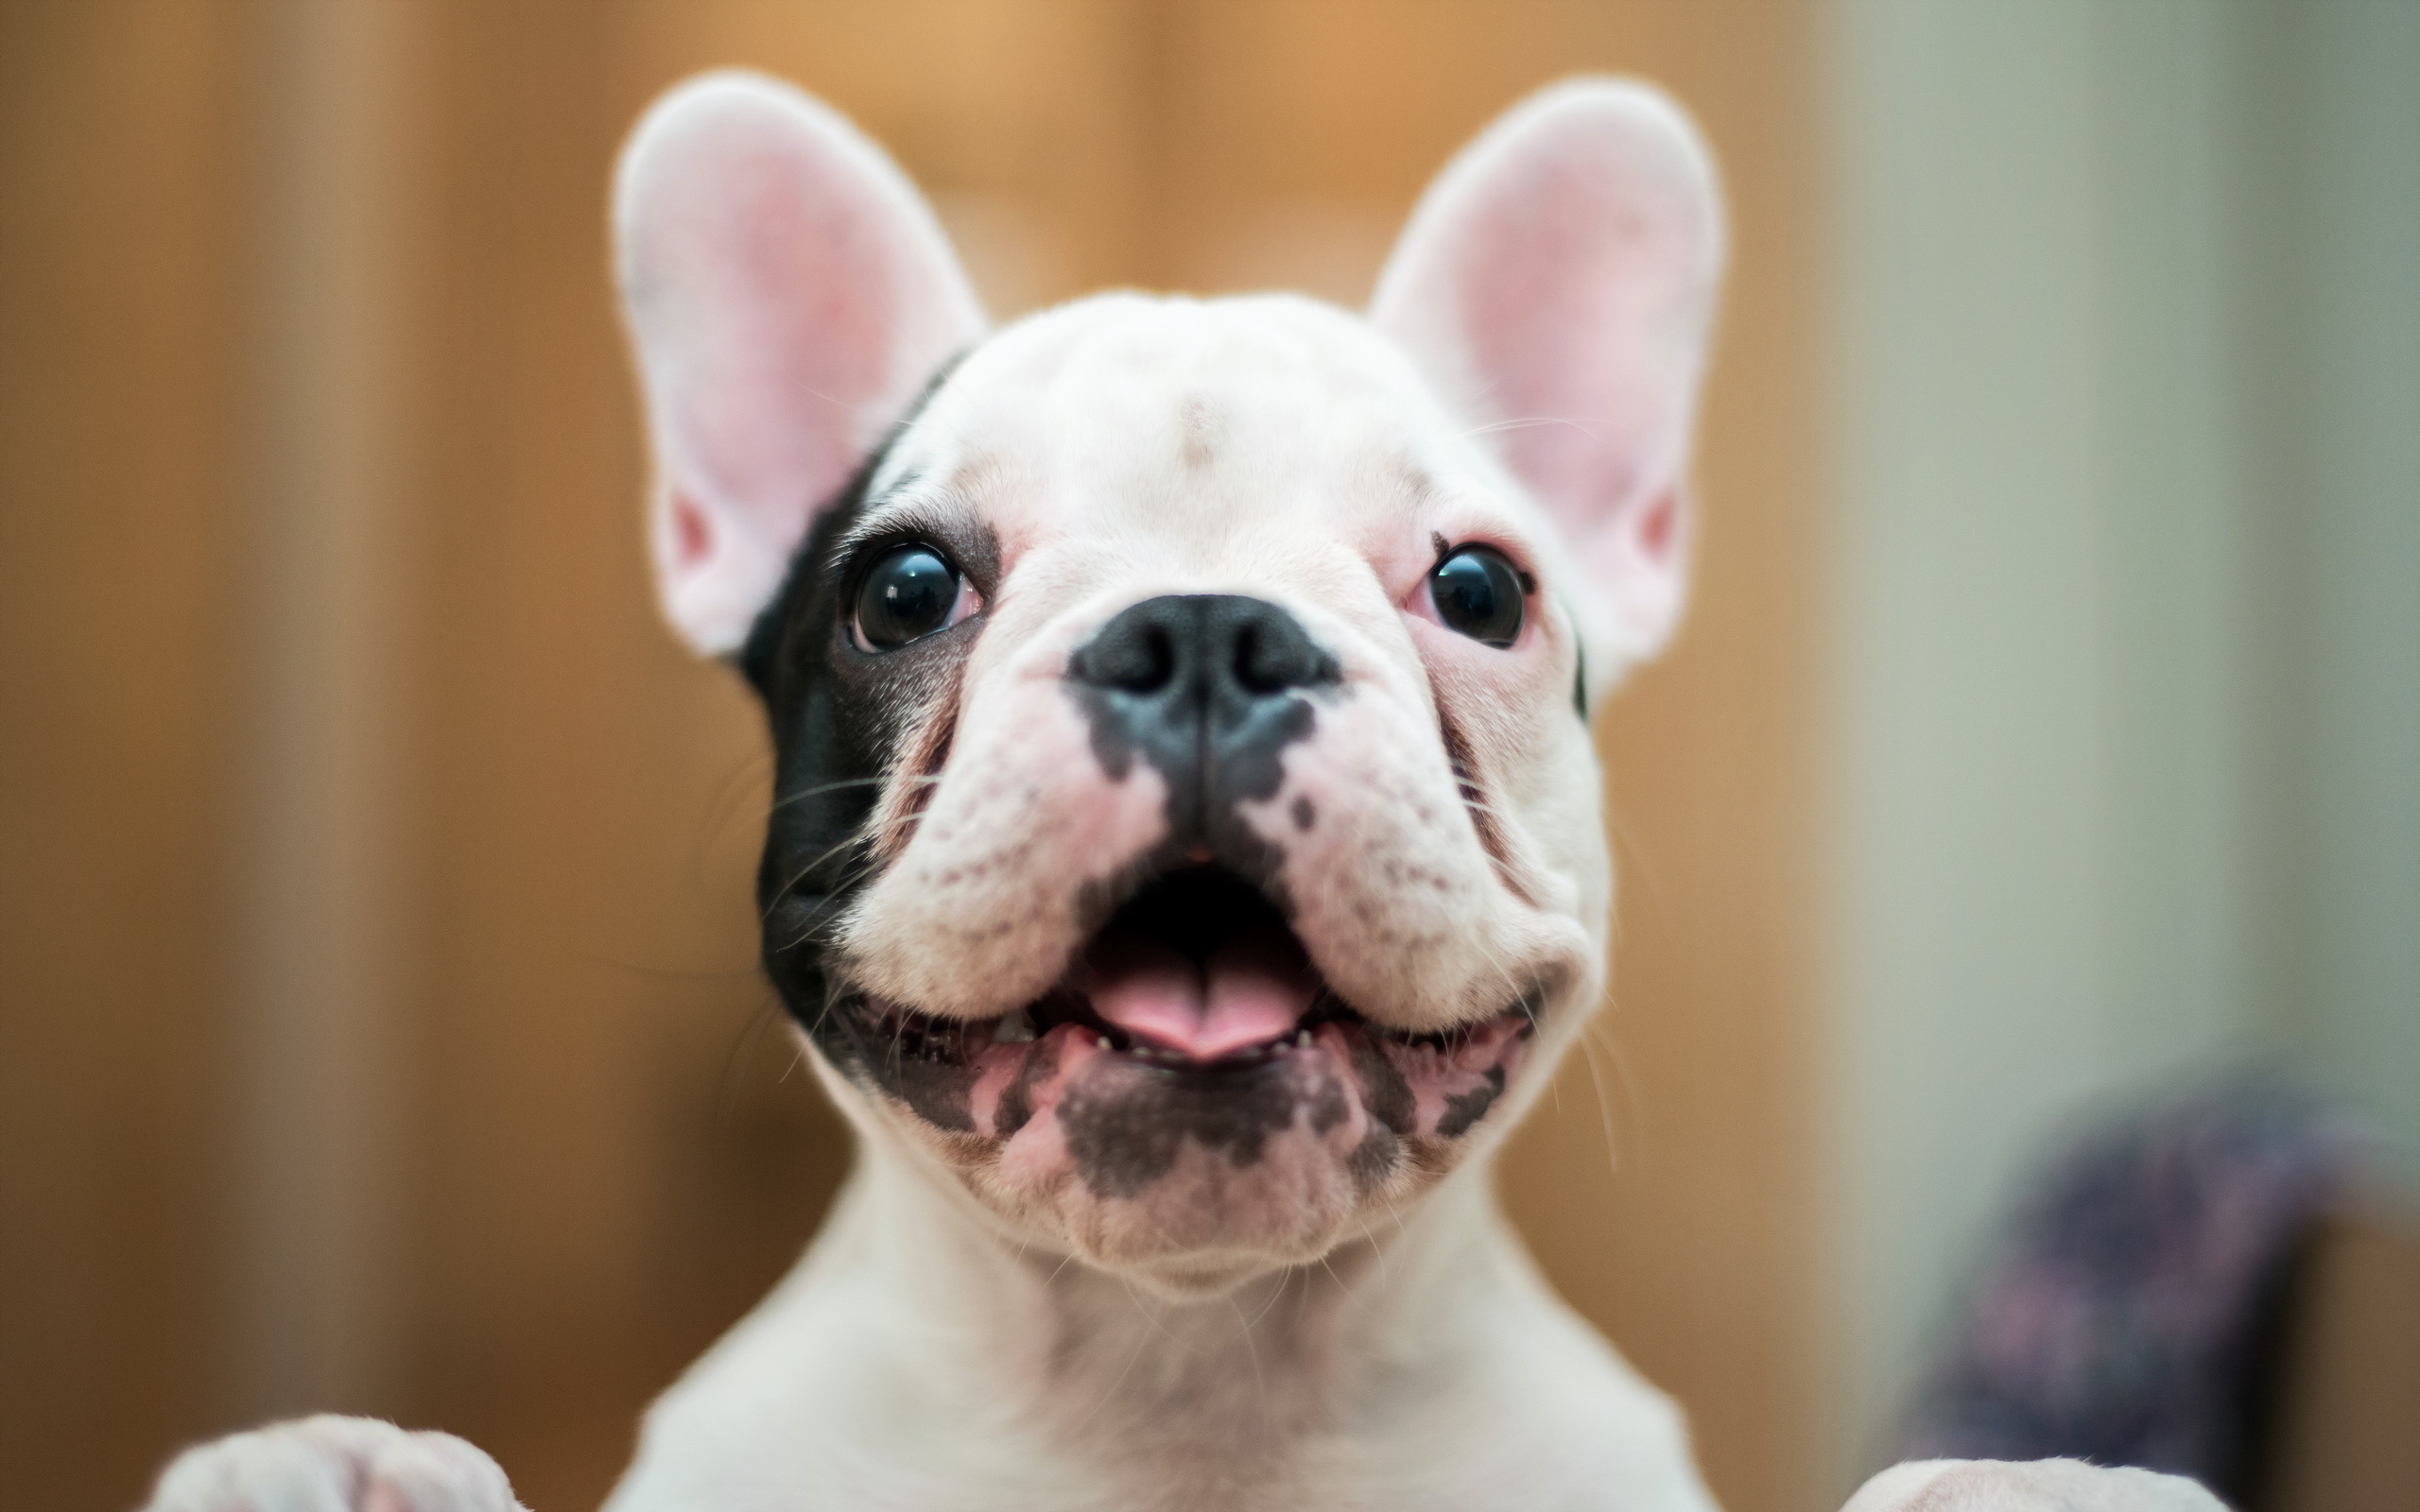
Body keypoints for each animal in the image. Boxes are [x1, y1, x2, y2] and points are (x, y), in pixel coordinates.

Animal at [141, 70, 2216, 1509]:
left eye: (1482, 589)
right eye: (904, 586)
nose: (1208, 633)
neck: (1179, 1385)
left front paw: (2026, 1489)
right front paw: (334, 1470)